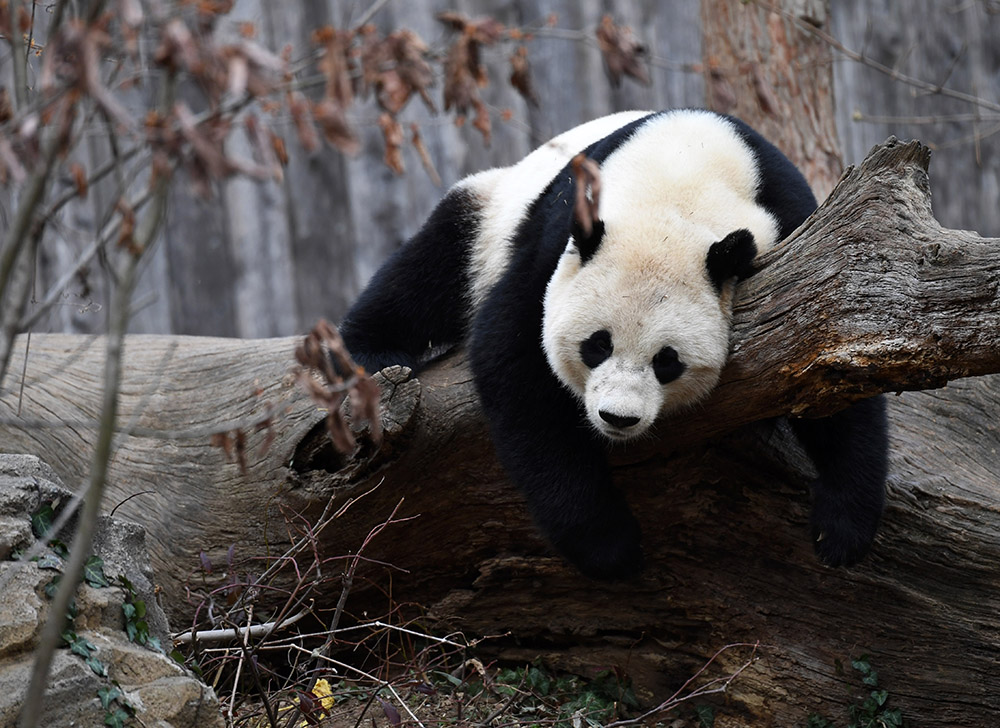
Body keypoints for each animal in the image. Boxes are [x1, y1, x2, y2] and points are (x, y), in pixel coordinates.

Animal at [340, 108, 888, 576]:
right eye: (596, 346)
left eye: (667, 361)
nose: (617, 418)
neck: (678, 182)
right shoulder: (555, 242)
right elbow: (514, 362)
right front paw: (609, 546)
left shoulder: (793, 225)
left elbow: (829, 346)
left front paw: (842, 530)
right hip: (490, 212)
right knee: (429, 268)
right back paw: (369, 353)